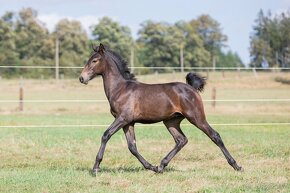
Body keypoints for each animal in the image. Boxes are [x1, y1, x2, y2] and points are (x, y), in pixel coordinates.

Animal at [78, 43, 242, 175]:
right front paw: (151, 166)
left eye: (94, 60)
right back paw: (161, 166)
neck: (121, 89)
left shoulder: (123, 118)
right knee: (181, 140)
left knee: (215, 136)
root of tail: (192, 88)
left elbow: (106, 135)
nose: (82, 78)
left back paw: (236, 166)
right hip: (171, 121)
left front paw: (95, 168)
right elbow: (132, 147)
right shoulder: (128, 122)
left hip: (196, 117)